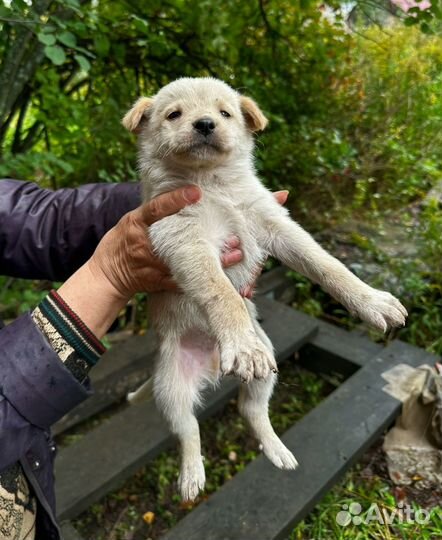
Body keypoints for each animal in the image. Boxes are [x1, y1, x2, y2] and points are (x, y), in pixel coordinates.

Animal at [122, 77, 406, 502]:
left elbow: (327, 265)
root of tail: (212, 365)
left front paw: (372, 302)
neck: (213, 184)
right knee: (188, 428)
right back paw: (192, 476)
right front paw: (240, 345)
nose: (205, 124)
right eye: (174, 114)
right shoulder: (186, 239)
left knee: (251, 410)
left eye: (224, 113)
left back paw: (277, 450)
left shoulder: (275, 224)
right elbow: (221, 293)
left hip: (269, 364)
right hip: (171, 387)